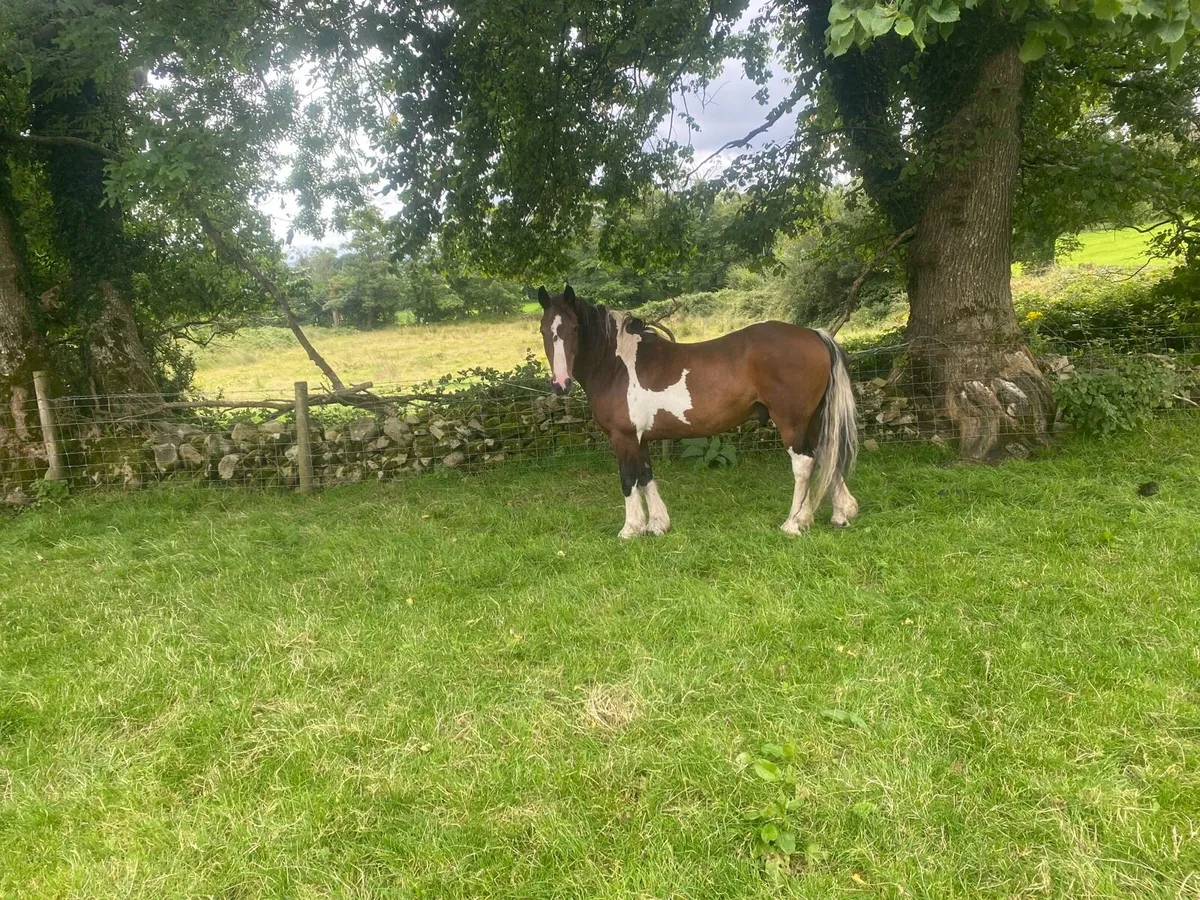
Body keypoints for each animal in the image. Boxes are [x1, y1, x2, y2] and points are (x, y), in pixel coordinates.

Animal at [536, 285, 860, 538]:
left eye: (573, 328)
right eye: (543, 330)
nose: (561, 384)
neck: (616, 365)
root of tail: (814, 334)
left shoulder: (623, 436)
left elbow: (629, 479)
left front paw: (630, 529)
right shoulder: (640, 438)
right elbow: (646, 475)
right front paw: (657, 525)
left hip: (791, 423)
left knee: (804, 464)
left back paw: (793, 523)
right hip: (814, 419)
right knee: (827, 454)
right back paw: (839, 514)